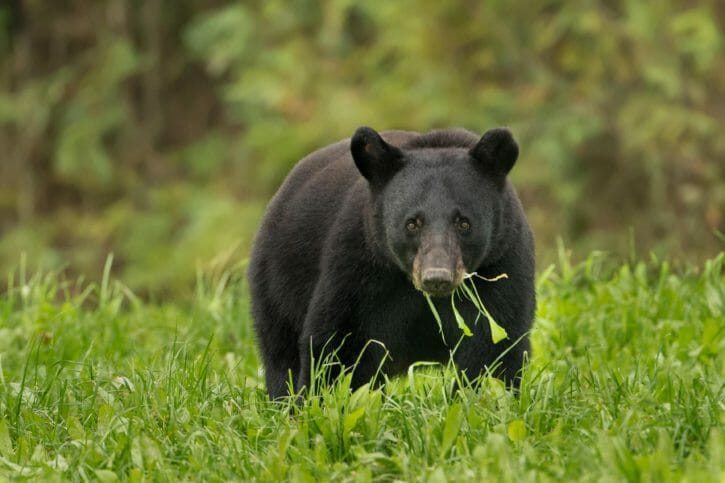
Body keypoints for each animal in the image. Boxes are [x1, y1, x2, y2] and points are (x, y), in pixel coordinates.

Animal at [248, 126, 535, 399]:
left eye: (464, 222)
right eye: (412, 223)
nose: (437, 278)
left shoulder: (501, 264)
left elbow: (494, 346)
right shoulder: (359, 267)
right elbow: (340, 344)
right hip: (278, 283)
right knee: (281, 355)